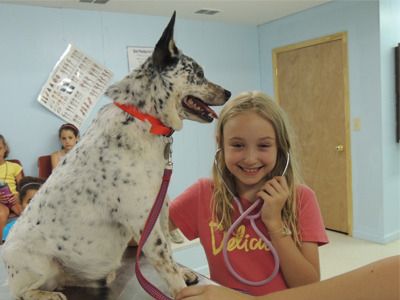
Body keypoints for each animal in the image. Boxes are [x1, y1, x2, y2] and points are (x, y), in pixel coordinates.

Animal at [2, 12, 231, 300]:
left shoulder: (160, 207)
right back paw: (47, 294)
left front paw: (183, 272)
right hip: (38, 266)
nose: (229, 92)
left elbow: (169, 251)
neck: (144, 119)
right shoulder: (144, 220)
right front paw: (180, 286)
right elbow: (166, 263)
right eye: (199, 74)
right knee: (24, 292)